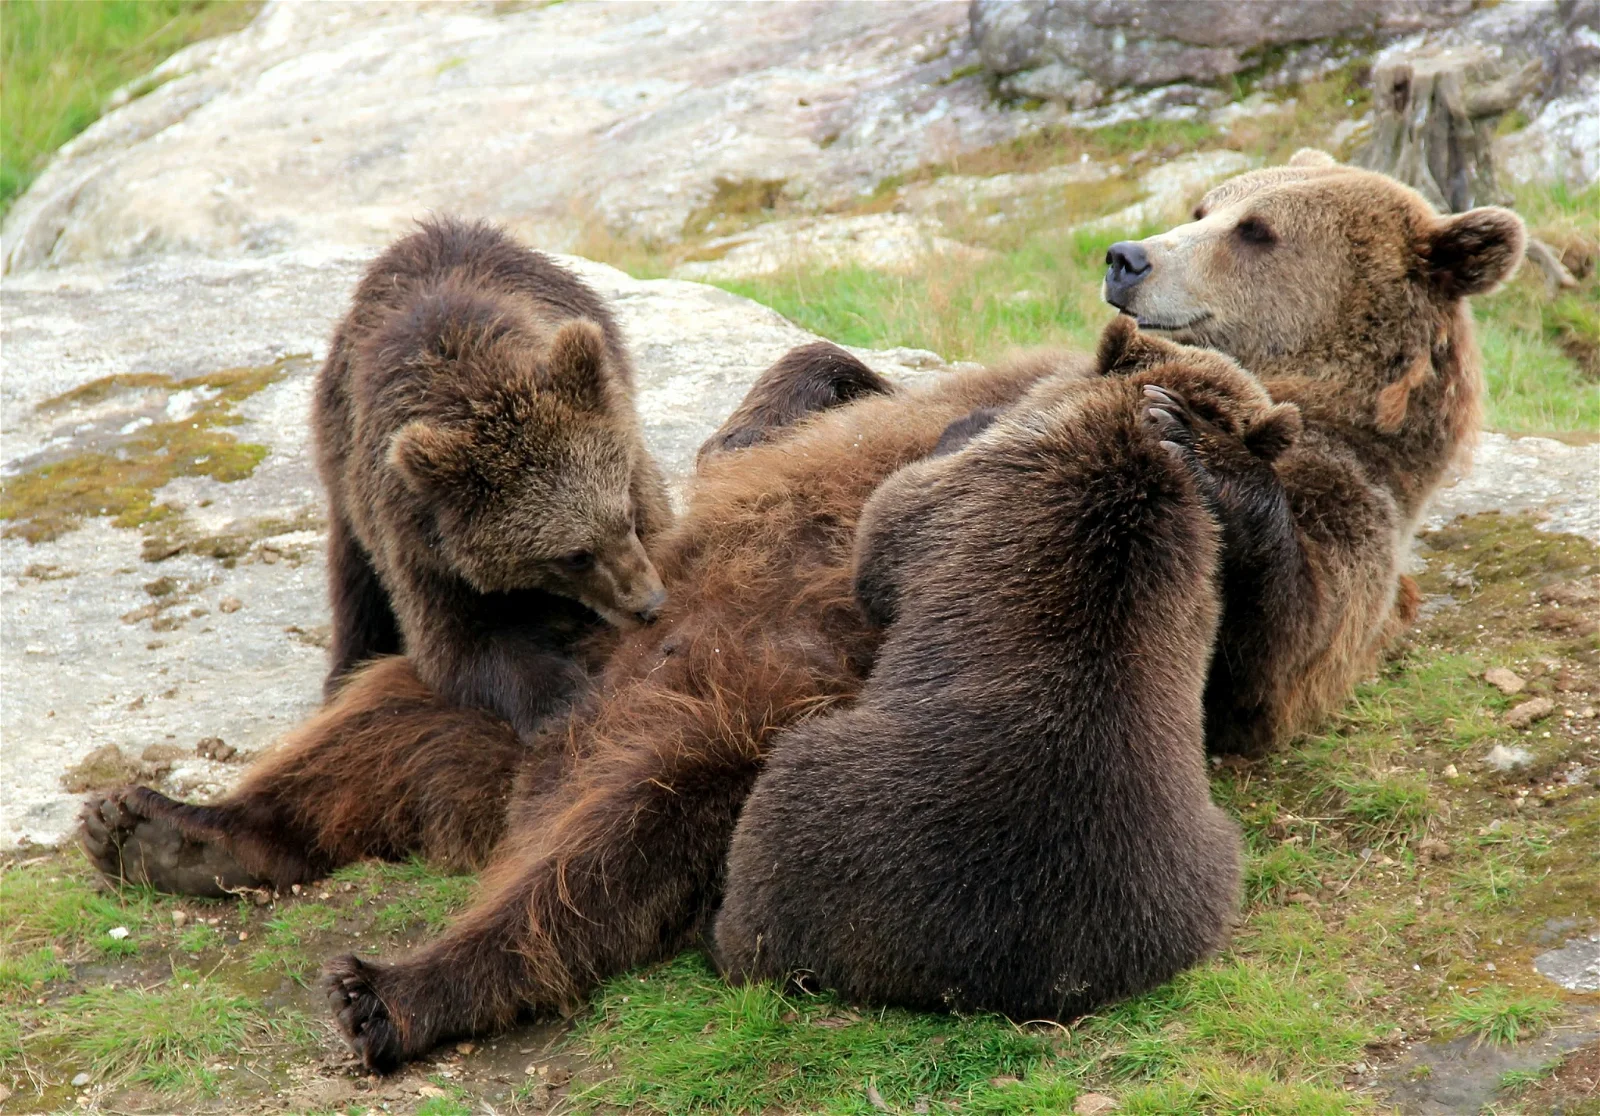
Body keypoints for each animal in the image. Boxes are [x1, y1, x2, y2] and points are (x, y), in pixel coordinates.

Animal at [314, 215, 671, 732]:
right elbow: (459, 644)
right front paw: (564, 699)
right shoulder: (421, 542)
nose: (648, 603)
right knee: (355, 582)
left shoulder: (624, 445)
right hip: (340, 461)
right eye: (575, 556)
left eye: (624, 516)